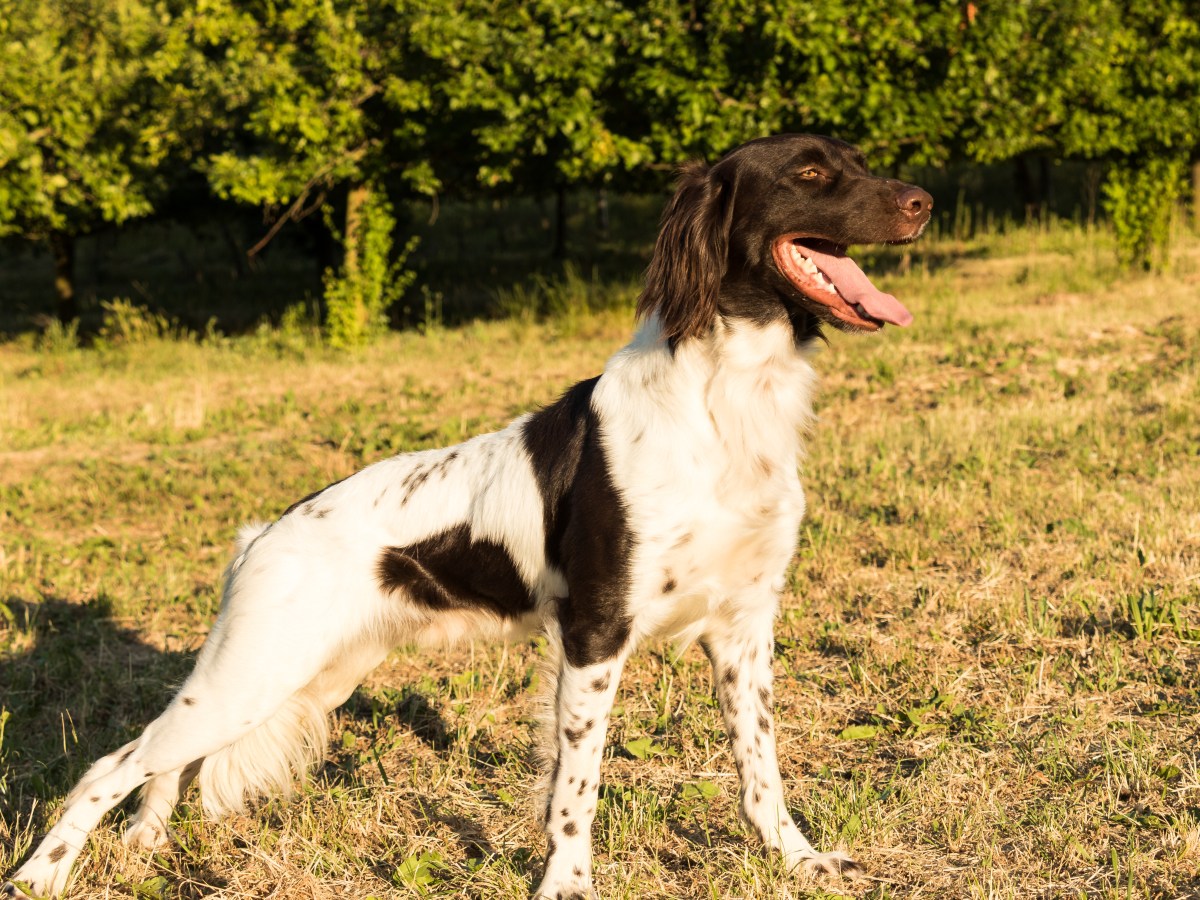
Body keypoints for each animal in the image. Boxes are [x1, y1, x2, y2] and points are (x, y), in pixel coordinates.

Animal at [4, 133, 931, 900]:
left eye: (857, 159)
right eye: (809, 174)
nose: (921, 199)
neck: (727, 401)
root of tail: (260, 537)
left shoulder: (743, 628)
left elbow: (759, 766)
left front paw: (797, 860)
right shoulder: (596, 632)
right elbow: (576, 787)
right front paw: (566, 886)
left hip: (297, 677)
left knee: (164, 763)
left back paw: (146, 843)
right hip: (256, 672)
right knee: (114, 761)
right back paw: (42, 876)